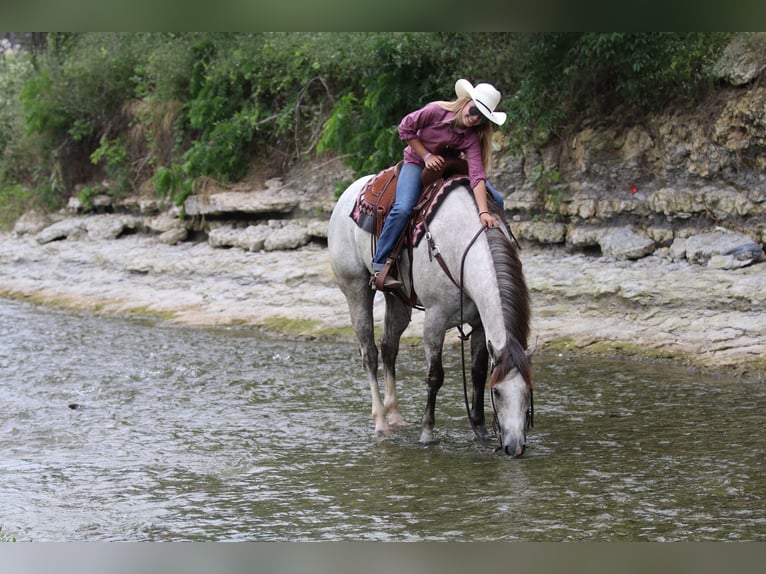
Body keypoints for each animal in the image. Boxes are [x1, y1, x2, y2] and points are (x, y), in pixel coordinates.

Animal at [328, 176, 536, 460]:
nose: (514, 447)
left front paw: (480, 431)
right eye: (497, 393)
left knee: (389, 347)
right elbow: (435, 376)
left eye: (528, 391)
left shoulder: (479, 325)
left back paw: (395, 417)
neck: (461, 251)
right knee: (369, 353)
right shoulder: (435, 321)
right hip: (355, 288)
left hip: (397, 298)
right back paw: (381, 422)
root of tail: (349, 191)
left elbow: (478, 372)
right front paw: (427, 433)